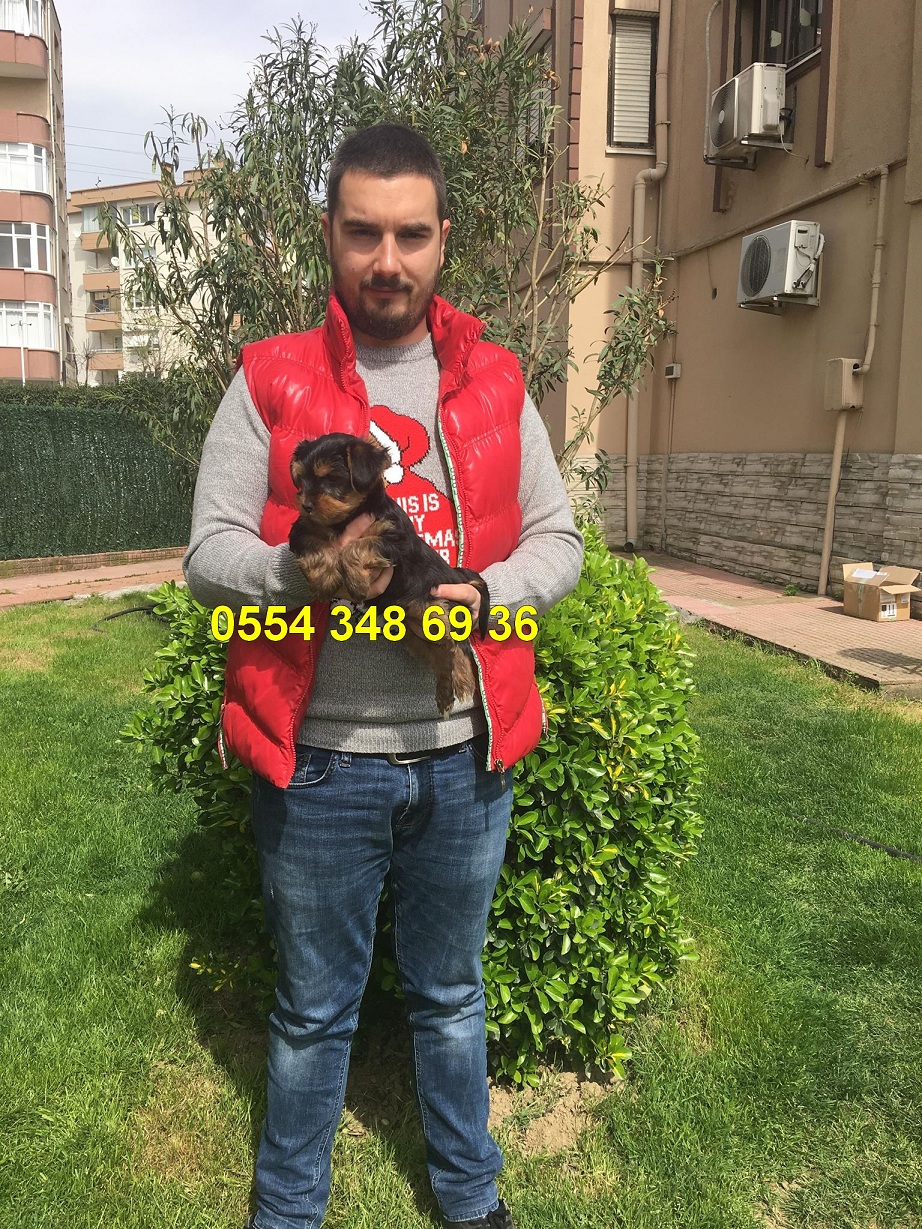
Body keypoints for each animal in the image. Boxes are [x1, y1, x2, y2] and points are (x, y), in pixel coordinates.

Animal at [288, 432, 490, 716]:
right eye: (301, 480)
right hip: (415, 634)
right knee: (442, 655)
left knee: (452, 646)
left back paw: (457, 682)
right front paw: (325, 577)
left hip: (433, 606)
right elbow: (315, 542)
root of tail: (453, 574)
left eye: (332, 478)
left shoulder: (394, 539)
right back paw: (447, 692)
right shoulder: (301, 530)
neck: (345, 519)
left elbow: (356, 546)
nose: (305, 505)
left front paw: (355, 581)